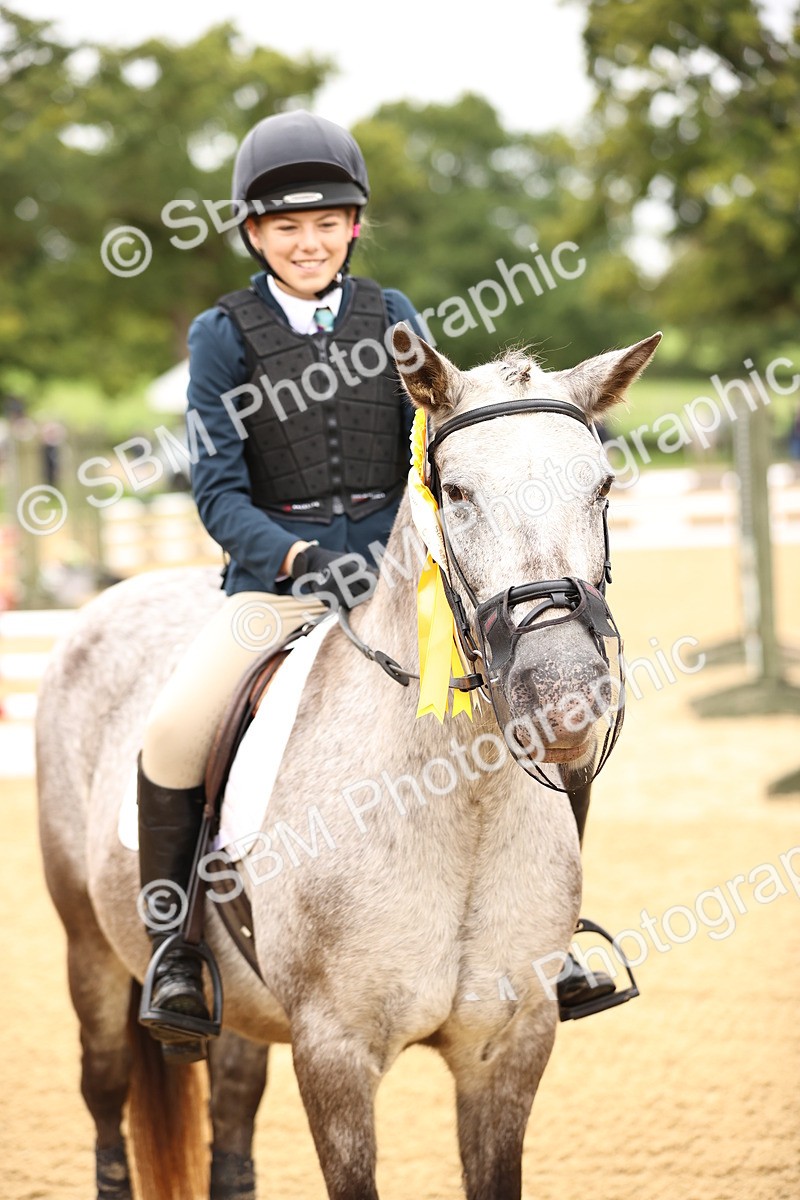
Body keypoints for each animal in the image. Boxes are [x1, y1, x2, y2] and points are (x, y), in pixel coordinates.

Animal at [36, 326, 660, 1200]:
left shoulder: (508, 1048)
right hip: (89, 952)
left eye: (601, 487)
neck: (456, 810)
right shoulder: (333, 1052)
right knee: (104, 1094)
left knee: (232, 1111)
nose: (565, 694)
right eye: (456, 492)